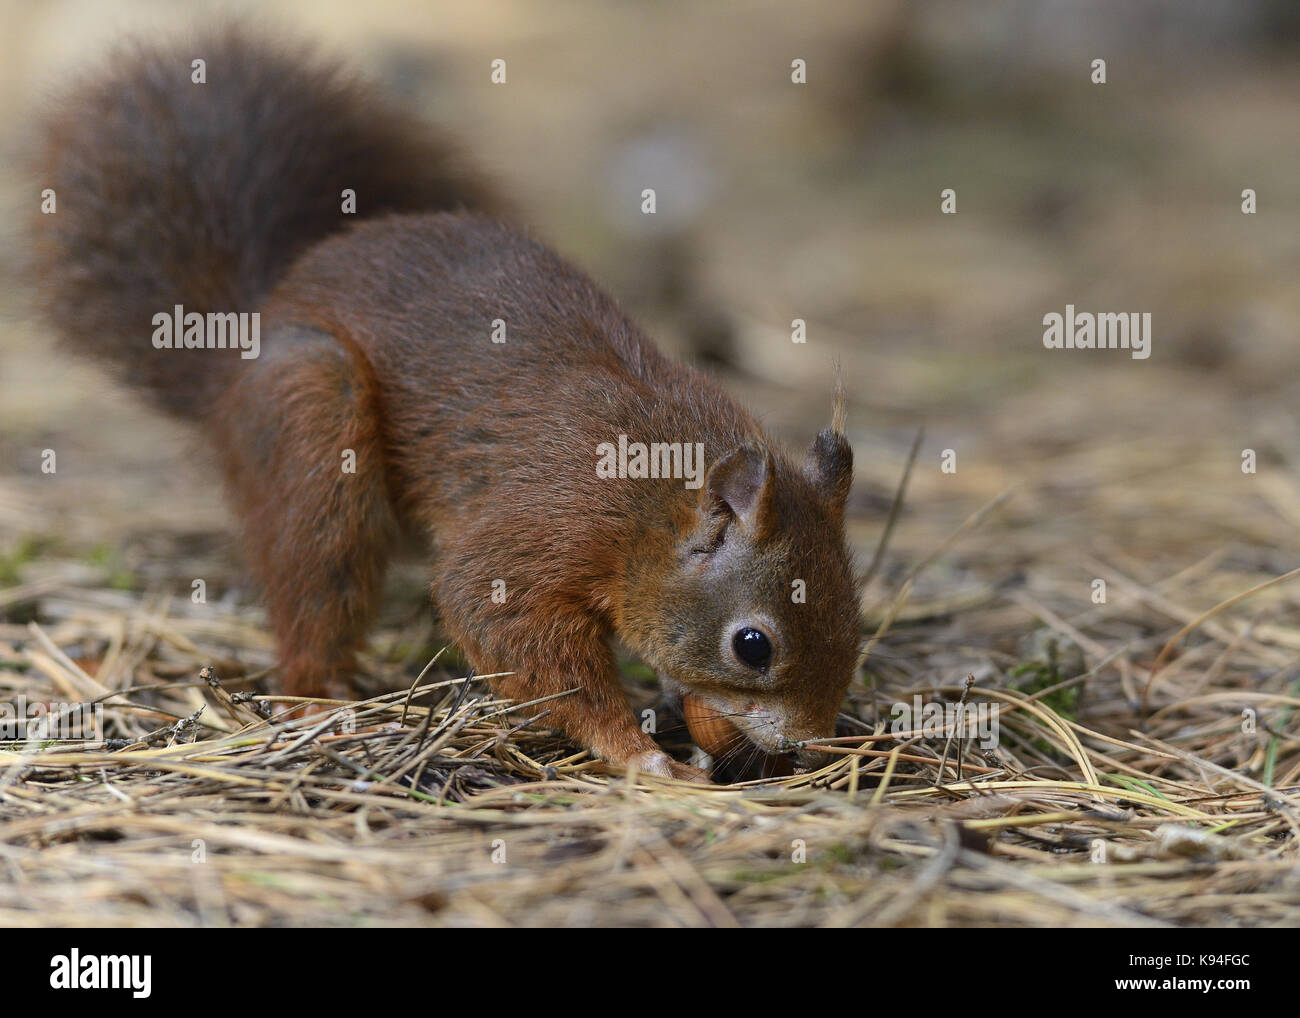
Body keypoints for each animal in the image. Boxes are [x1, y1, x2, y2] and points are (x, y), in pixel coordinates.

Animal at [30, 29, 863, 780]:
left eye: (855, 617)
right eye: (753, 645)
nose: (805, 747)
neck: (654, 506)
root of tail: (239, 350)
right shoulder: (548, 528)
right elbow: (499, 620)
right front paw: (636, 752)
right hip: (312, 416)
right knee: (314, 584)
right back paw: (318, 700)